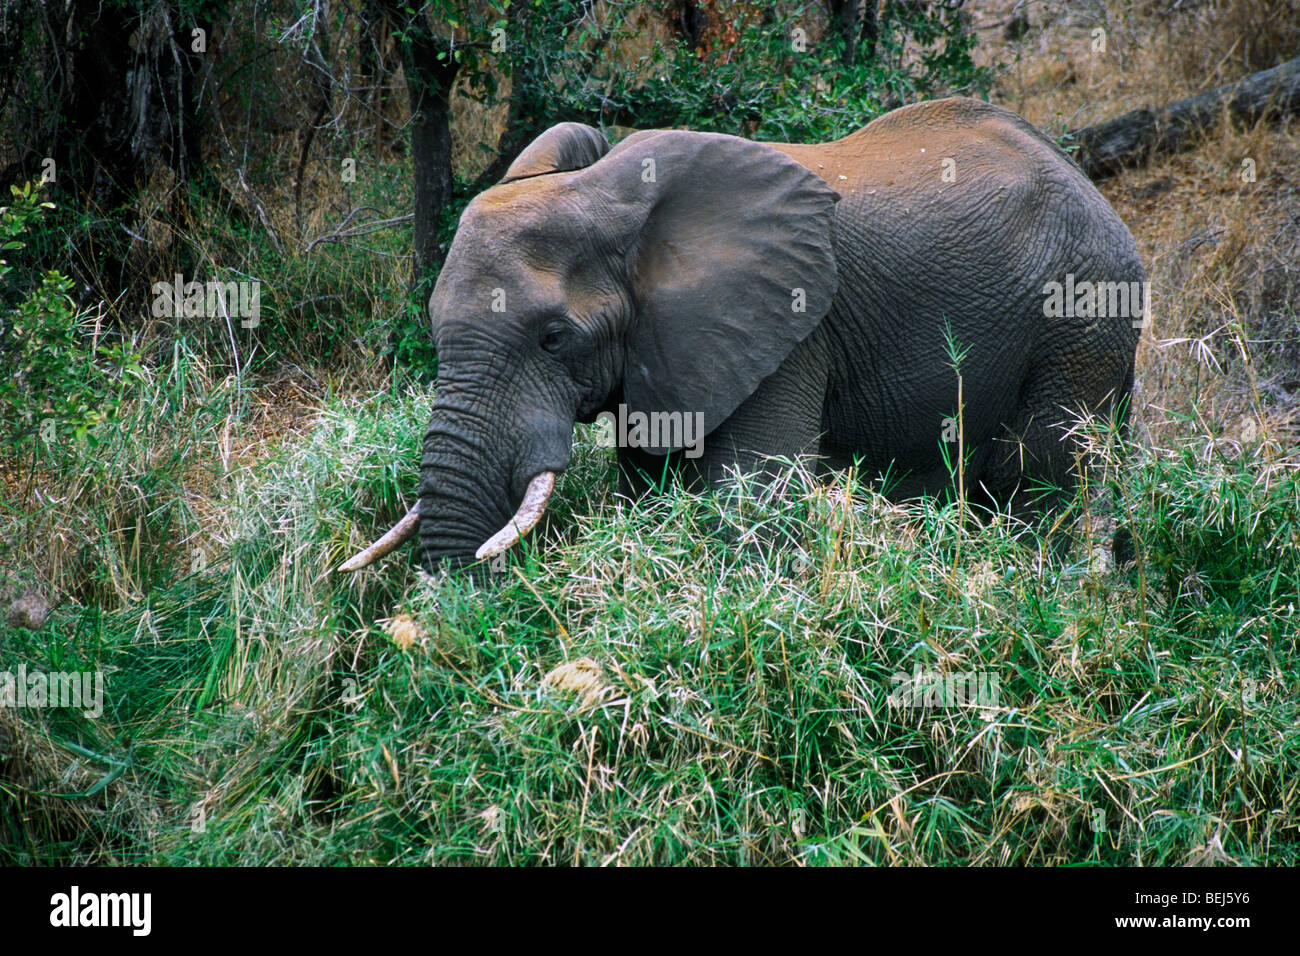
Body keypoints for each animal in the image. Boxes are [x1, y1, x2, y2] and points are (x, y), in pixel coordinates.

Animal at [340, 96, 1144, 572]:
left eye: (553, 339)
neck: (605, 195)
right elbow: (654, 484)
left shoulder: (788, 329)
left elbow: (752, 498)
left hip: (1080, 325)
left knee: (1043, 480)